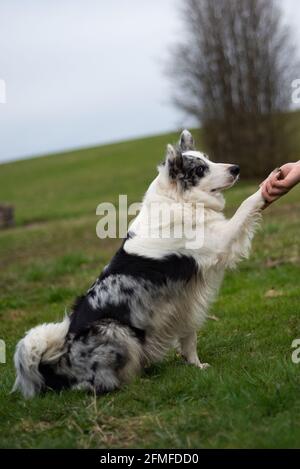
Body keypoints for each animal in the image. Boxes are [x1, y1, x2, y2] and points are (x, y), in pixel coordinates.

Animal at [13, 130, 264, 396]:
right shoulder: (219, 242)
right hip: (114, 329)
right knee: (93, 384)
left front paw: (195, 365)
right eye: (199, 169)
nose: (236, 168)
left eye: (208, 159)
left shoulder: (185, 301)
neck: (180, 200)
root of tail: (57, 369)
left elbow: (189, 338)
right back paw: (133, 382)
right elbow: (247, 204)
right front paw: (267, 185)